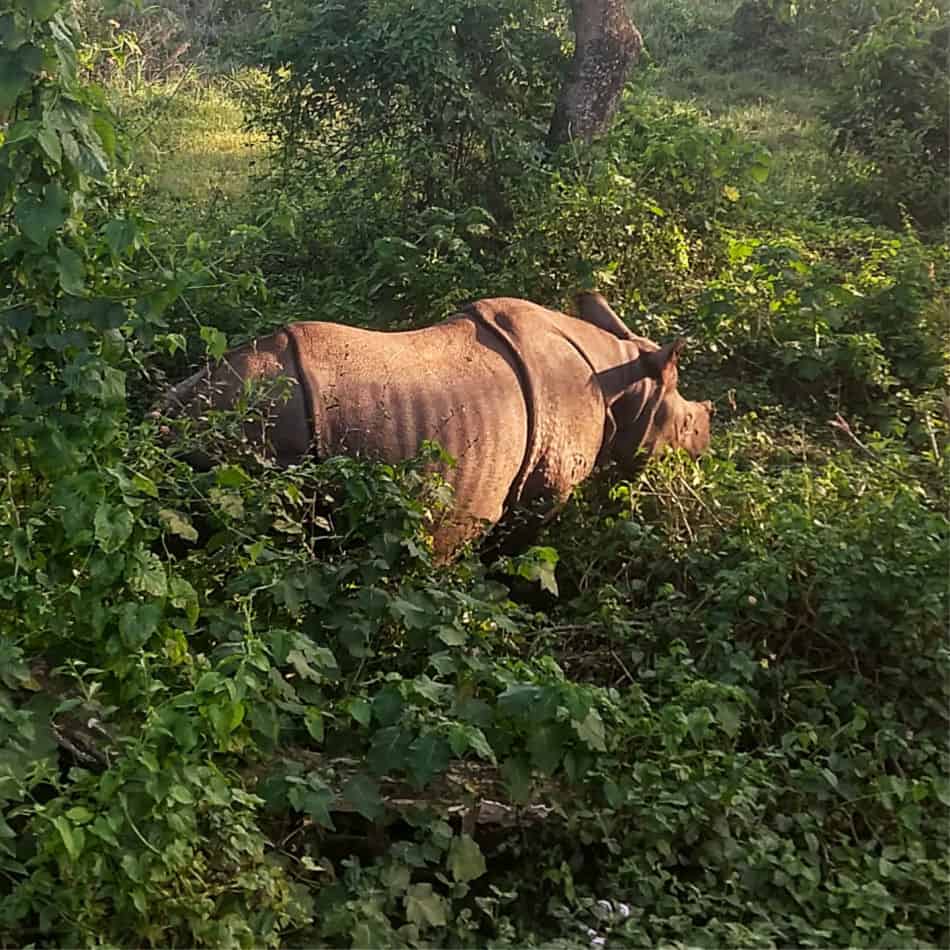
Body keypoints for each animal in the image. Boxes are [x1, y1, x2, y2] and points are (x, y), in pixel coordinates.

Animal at [161, 293, 713, 556]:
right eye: (687, 424)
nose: (706, 441)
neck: (624, 378)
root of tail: (165, 417)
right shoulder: (543, 493)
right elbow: (514, 559)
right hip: (259, 433)